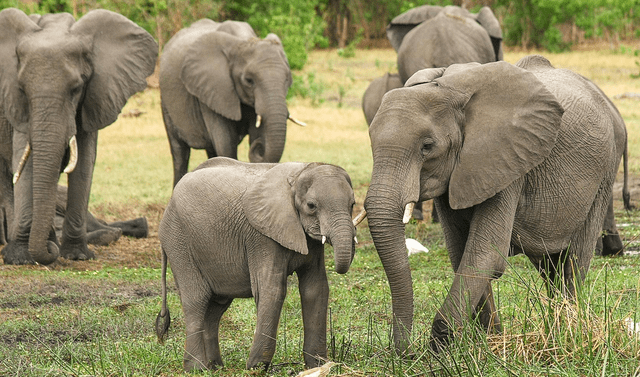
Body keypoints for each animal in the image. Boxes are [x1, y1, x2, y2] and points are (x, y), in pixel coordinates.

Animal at [0, 6, 159, 264]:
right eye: (22, 89)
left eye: (76, 89)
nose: (50, 252)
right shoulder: (16, 107)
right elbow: (25, 162)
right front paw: (19, 258)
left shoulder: (95, 95)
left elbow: (84, 162)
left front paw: (76, 255)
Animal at [154, 156, 356, 370]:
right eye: (311, 206)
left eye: (352, 204)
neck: (299, 173)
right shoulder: (261, 236)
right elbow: (272, 289)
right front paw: (256, 368)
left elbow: (315, 289)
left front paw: (317, 365)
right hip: (178, 241)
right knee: (196, 300)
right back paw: (197, 368)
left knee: (216, 306)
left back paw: (215, 366)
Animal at [160, 19, 300, 187]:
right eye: (249, 80)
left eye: (287, 79)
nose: (259, 146)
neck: (243, 40)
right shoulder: (212, 90)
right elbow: (225, 144)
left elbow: (255, 133)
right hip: (166, 102)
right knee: (180, 153)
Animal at [362, 55, 624, 350]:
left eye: (427, 147)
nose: (404, 352)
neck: (447, 90)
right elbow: (461, 252)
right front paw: (489, 342)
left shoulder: (508, 160)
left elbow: (485, 253)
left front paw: (442, 346)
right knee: (550, 265)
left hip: (604, 172)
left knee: (574, 259)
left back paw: (568, 329)